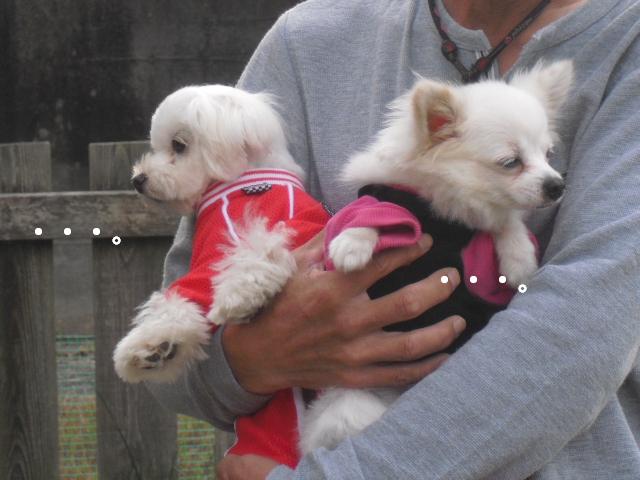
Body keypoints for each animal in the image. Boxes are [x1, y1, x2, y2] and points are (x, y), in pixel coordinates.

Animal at [299, 60, 574, 453]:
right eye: (511, 162)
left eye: (548, 155)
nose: (556, 185)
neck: (446, 212)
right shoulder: (390, 197)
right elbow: (375, 213)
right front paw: (353, 244)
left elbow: (507, 222)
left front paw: (519, 257)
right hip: (353, 405)